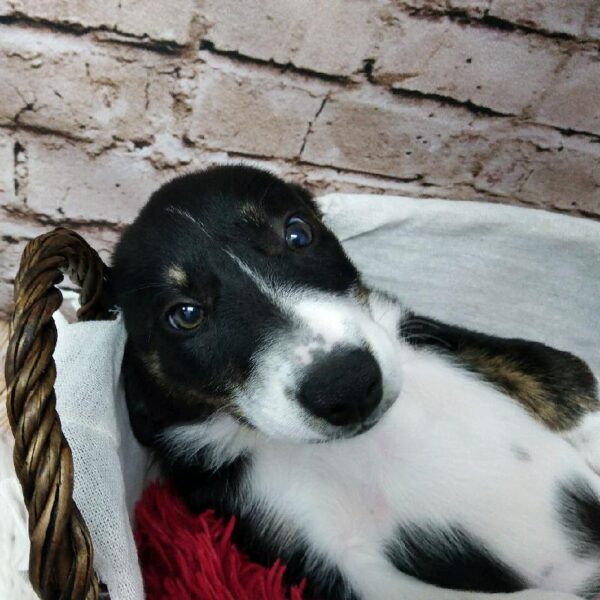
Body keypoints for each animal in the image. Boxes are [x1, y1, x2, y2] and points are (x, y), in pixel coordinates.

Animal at [111, 166, 600, 600]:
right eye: (185, 314)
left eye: (298, 233)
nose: (348, 389)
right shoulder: (329, 559)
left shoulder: (410, 332)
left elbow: (561, 371)